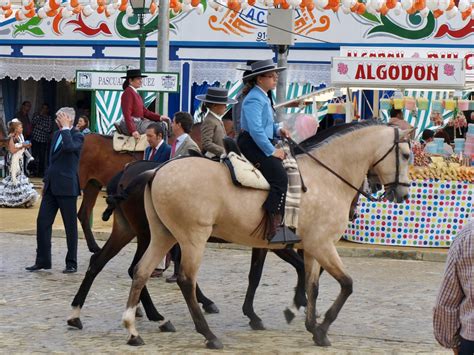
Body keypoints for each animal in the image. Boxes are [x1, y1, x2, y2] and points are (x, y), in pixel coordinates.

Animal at [122, 121, 412, 350]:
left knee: (141, 271)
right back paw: (208, 334)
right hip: (193, 238)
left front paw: (310, 324)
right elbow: (346, 284)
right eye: (407, 155)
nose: (404, 194)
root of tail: (157, 171)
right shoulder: (321, 245)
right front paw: (320, 326)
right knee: (185, 280)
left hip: (164, 236)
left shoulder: (310, 247)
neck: (325, 177)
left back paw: (135, 329)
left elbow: (311, 284)